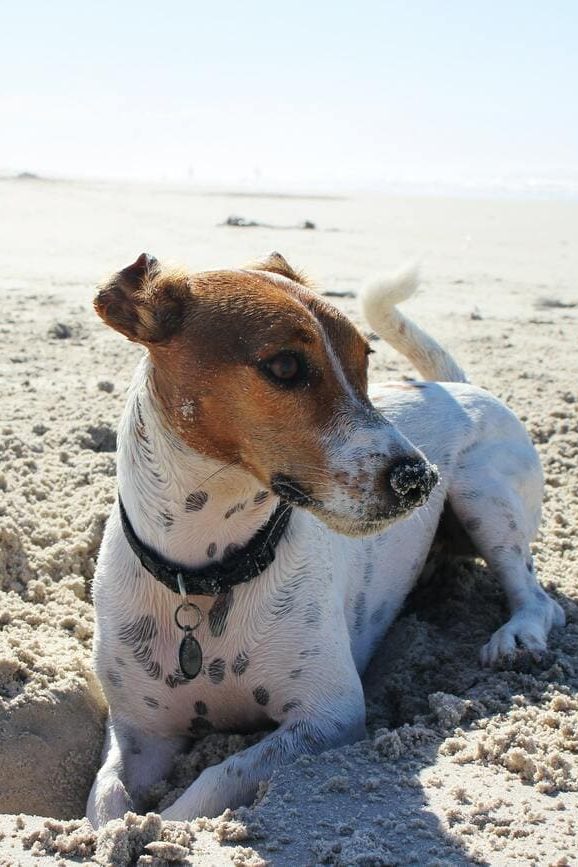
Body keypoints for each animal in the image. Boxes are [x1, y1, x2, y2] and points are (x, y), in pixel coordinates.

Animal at [85, 251, 564, 828]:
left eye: (365, 359)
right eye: (285, 366)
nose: (419, 478)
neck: (207, 574)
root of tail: (465, 386)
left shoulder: (329, 716)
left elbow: (215, 781)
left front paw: (169, 824)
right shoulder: (139, 734)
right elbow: (106, 802)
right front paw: (117, 833)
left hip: (485, 495)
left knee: (536, 596)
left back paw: (517, 636)